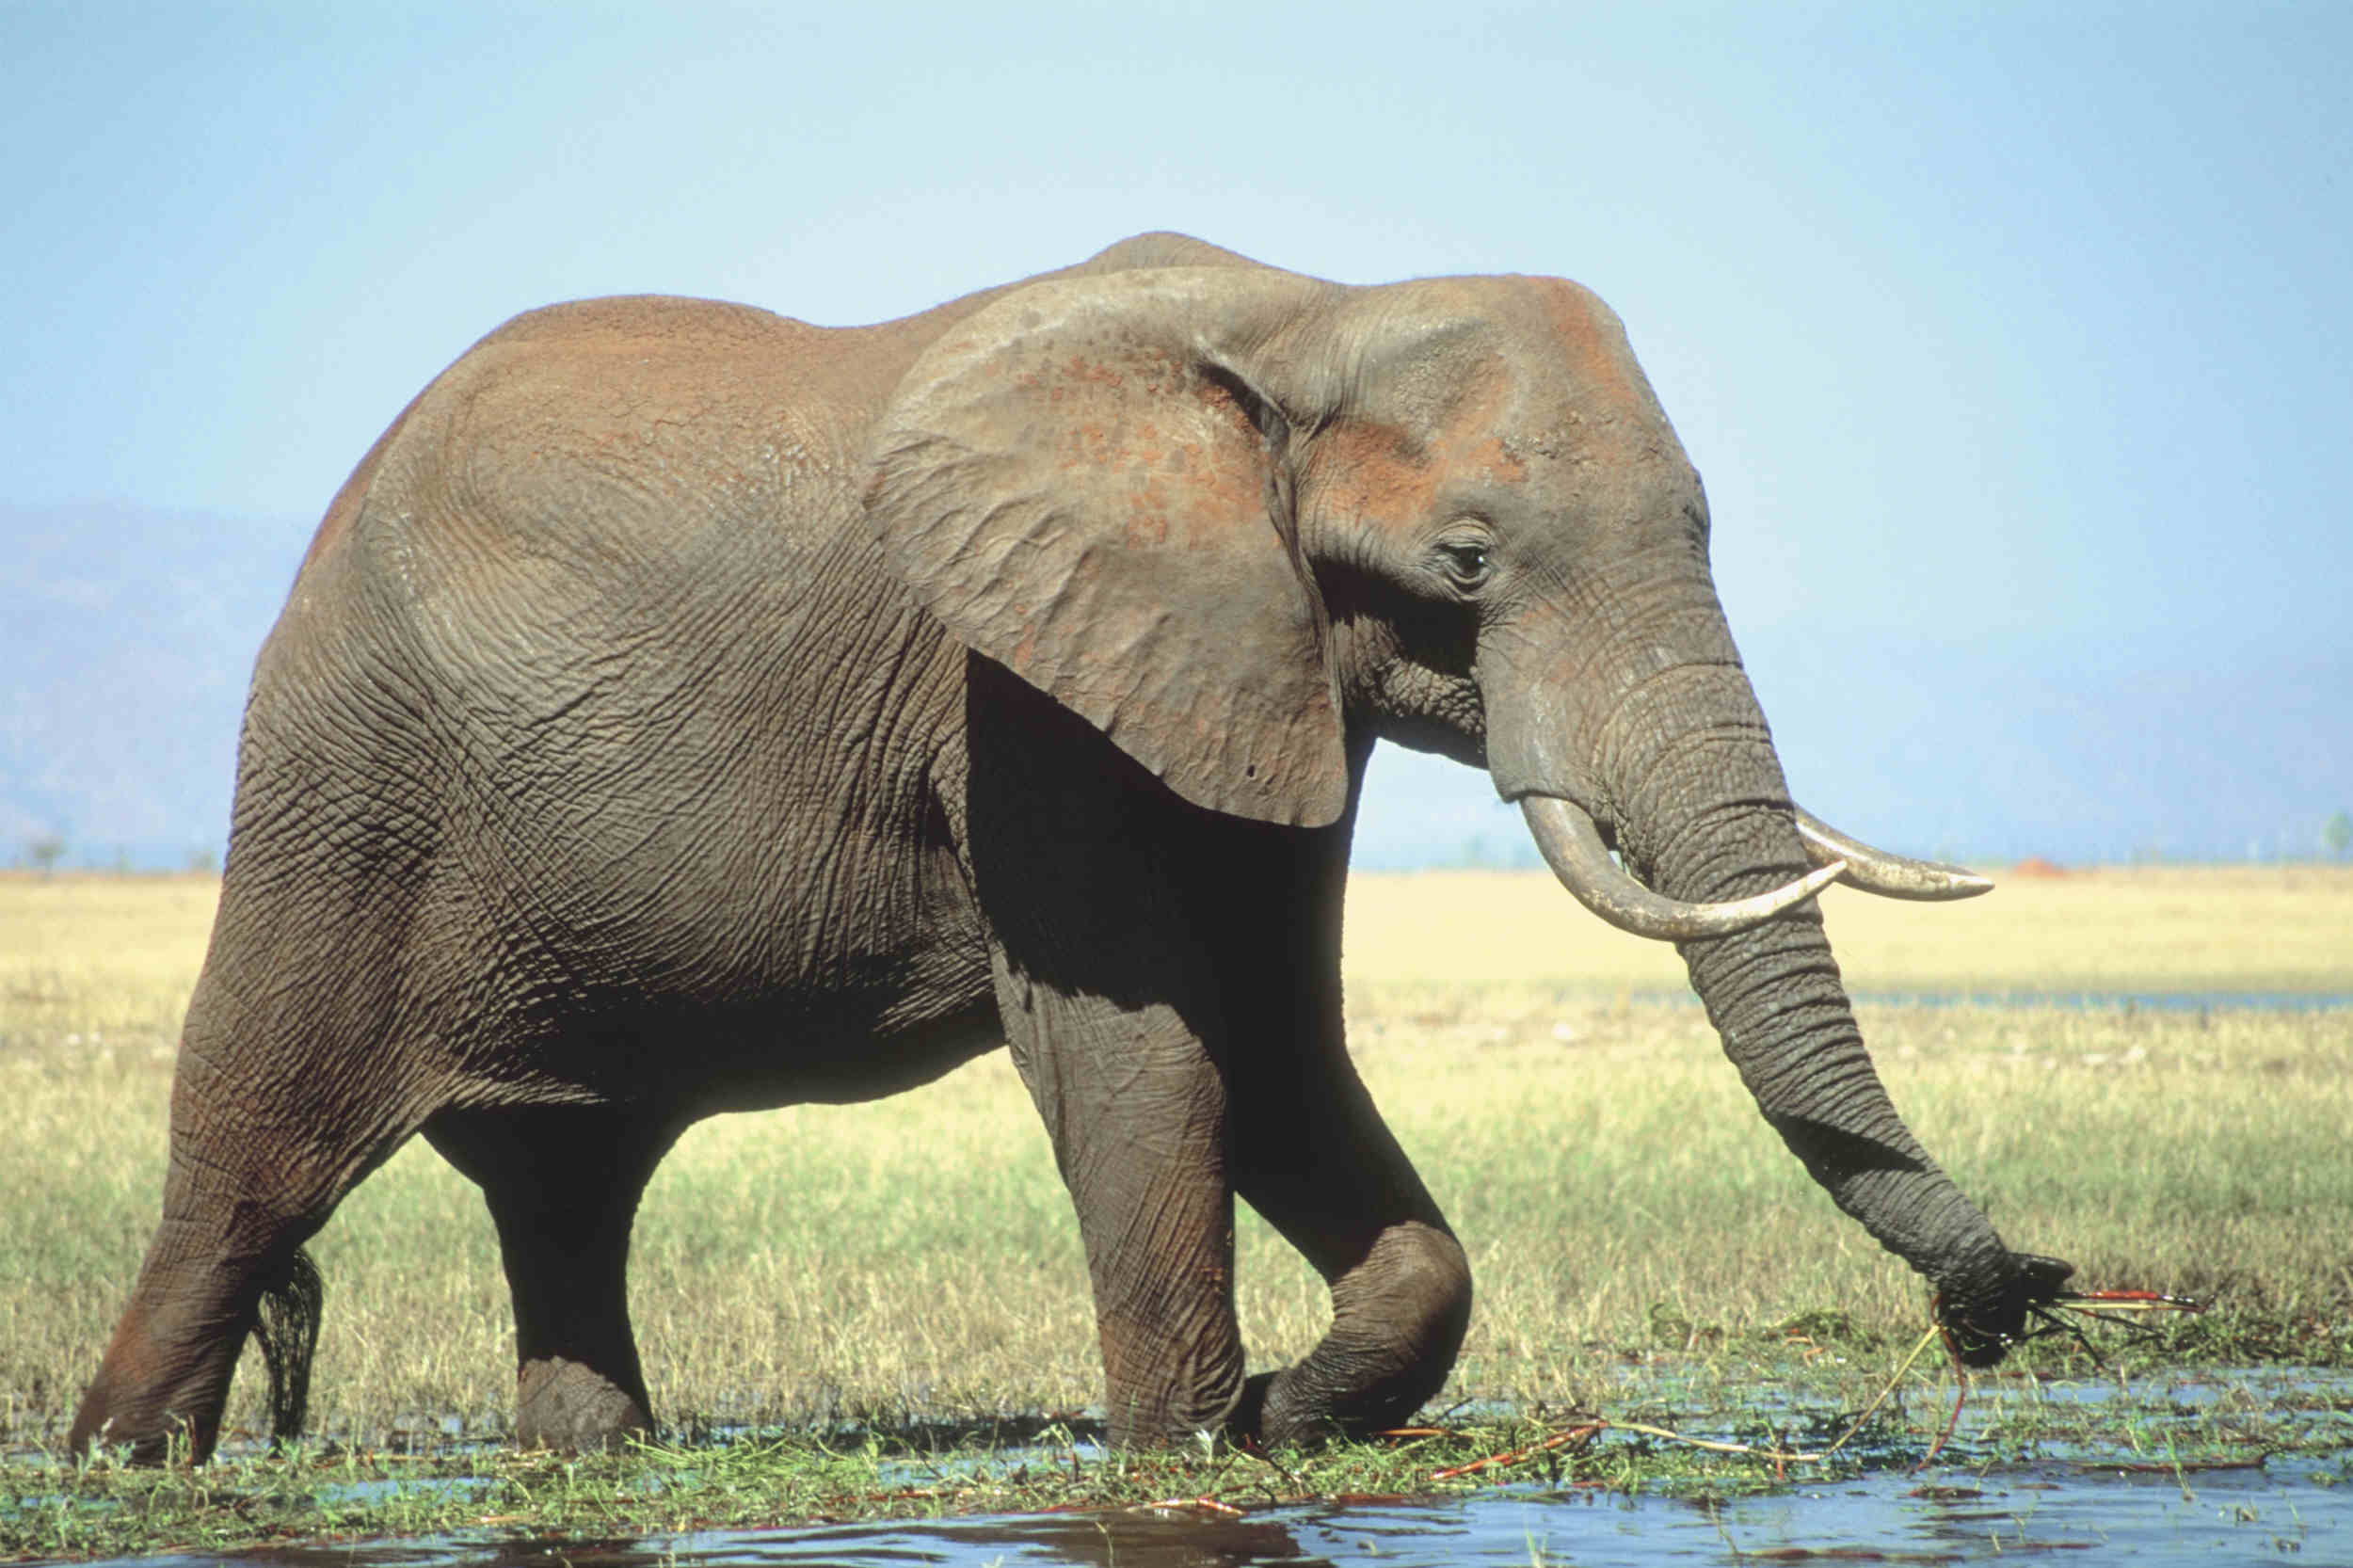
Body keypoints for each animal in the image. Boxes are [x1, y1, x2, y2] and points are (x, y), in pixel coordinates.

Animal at [69, 232, 2071, 1465]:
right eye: (1471, 561)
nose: (2022, 1302)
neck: (1303, 314)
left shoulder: (1250, 668)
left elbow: (1280, 1045)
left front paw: (1286, 1414)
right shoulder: (1014, 684)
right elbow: (1141, 1047)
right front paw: (1187, 1444)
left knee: (566, 1187)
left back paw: (591, 1457)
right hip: (343, 784)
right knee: (246, 1162)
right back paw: (128, 1461)